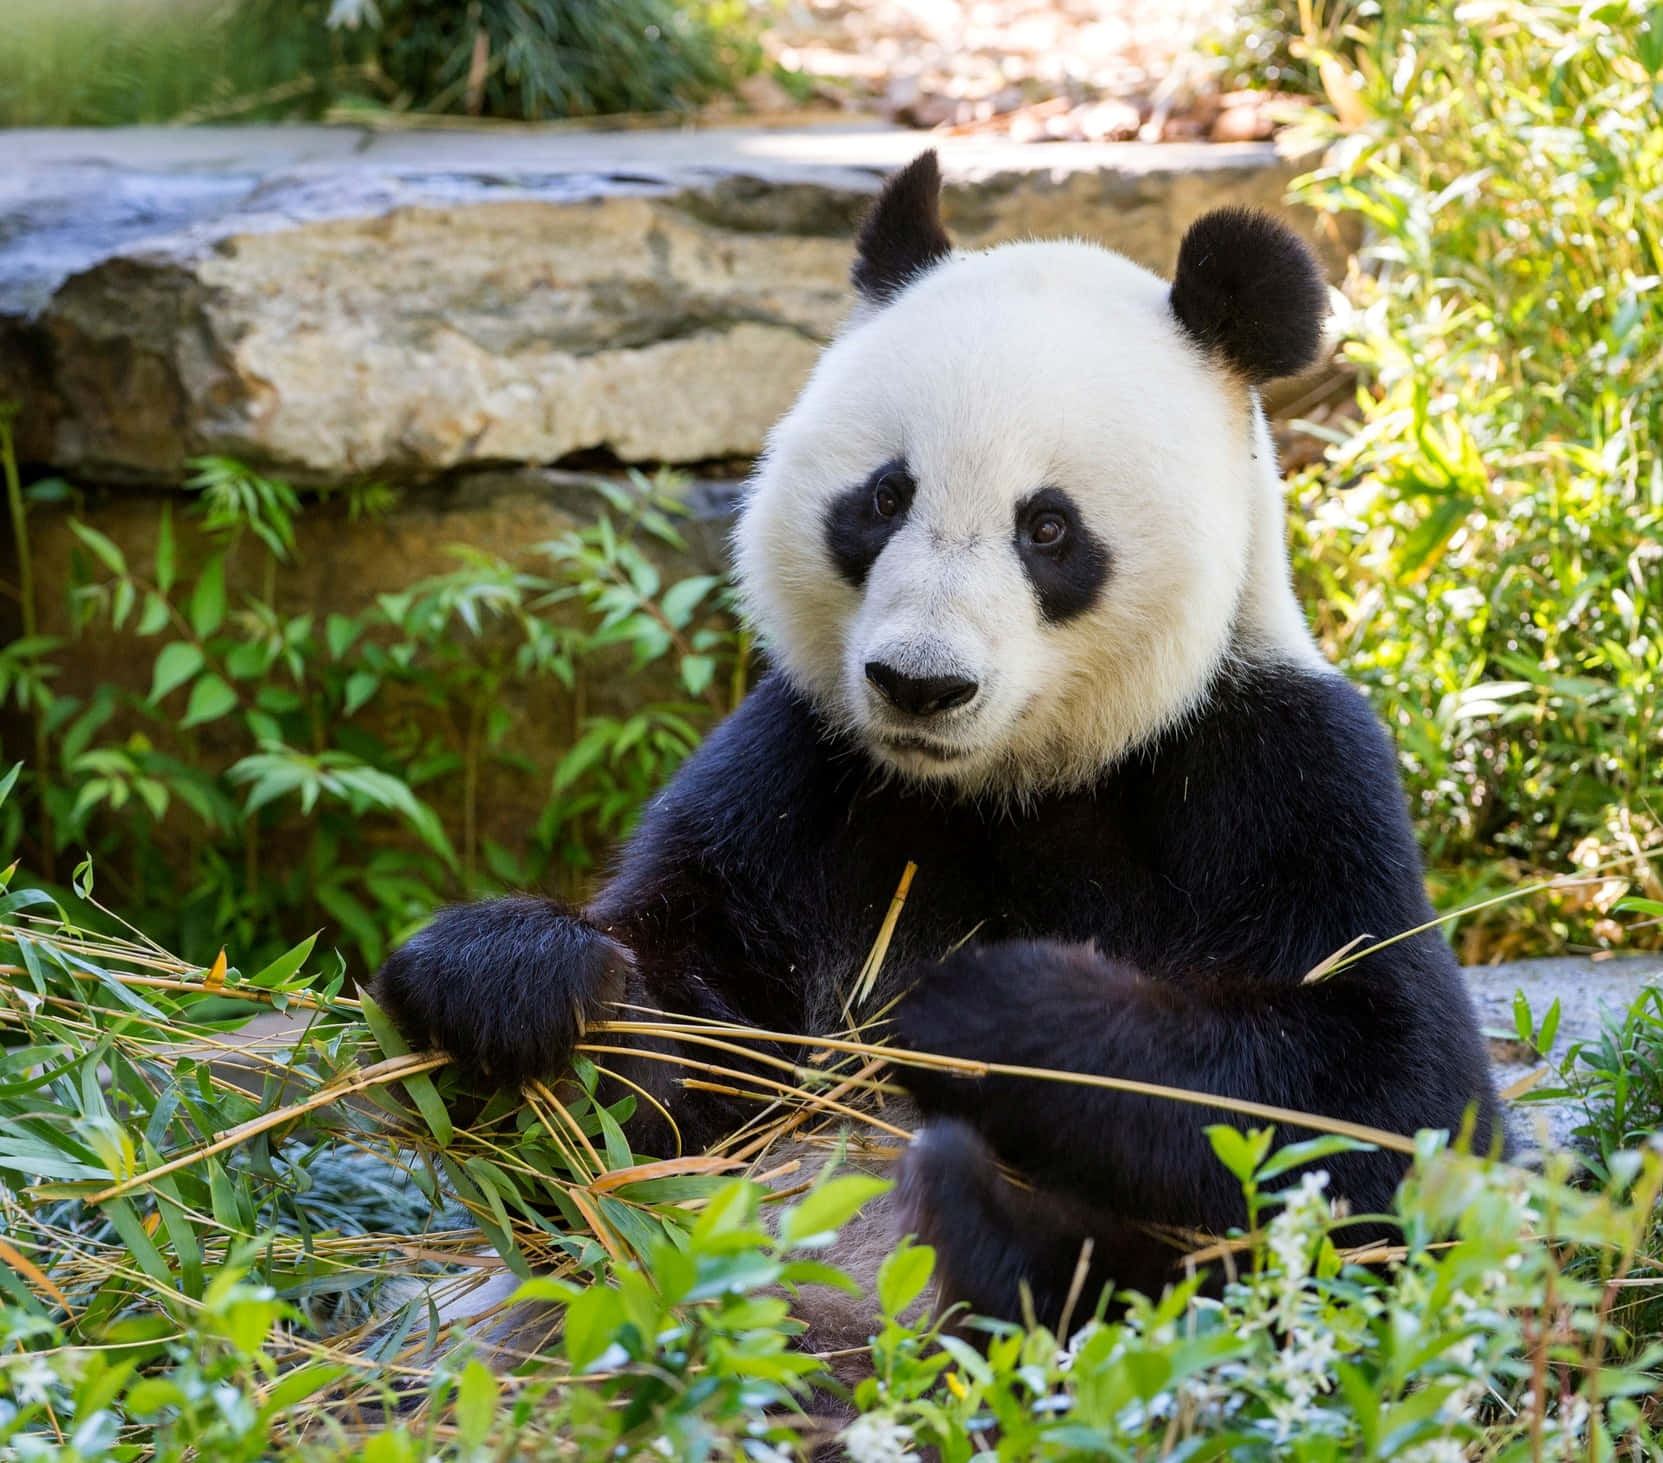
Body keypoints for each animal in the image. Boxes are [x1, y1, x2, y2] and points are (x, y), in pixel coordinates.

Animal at [377, 151, 1510, 1323]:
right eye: (883, 498)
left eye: (1048, 527)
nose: (920, 685)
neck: (1009, 782)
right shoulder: (803, 768)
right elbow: (683, 1077)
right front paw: (513, 981)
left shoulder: (1270, 764)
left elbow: (1388, 1098)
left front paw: (989, 1018)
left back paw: (980, 1218)